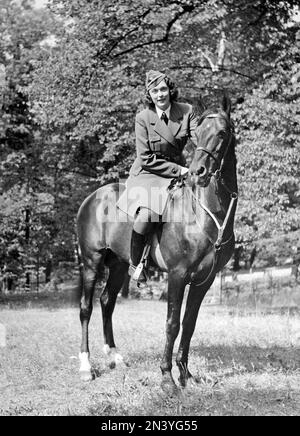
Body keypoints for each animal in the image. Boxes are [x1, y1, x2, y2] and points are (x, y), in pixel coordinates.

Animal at [76, 95, 238, 396]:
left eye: (222, 133)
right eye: (197, 133)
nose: (197, 172)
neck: (204, 212)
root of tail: (93, 197)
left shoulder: (204, 280)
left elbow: (189, 324)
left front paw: (186, 374)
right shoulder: (177, 275)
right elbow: (172, 325)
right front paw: (167, 377)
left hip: (119, 264)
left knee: (107, 302)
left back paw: (115, 355)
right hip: (91, 262)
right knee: (85, 308)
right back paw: (85, 366)